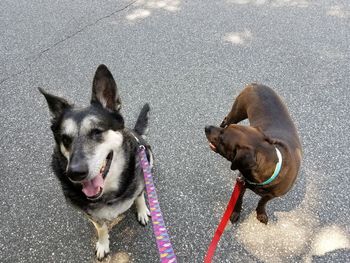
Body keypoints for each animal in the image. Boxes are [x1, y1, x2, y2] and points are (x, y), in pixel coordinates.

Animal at [205, 84, 300, 225]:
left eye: (222, 139)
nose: (206, 127)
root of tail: (256, 84)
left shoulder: (271, 195)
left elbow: (262, 201)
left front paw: (261, 213)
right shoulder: (241, 183)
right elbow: (238, 200)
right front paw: (235, 212)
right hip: (237, 113)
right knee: (227, 119)